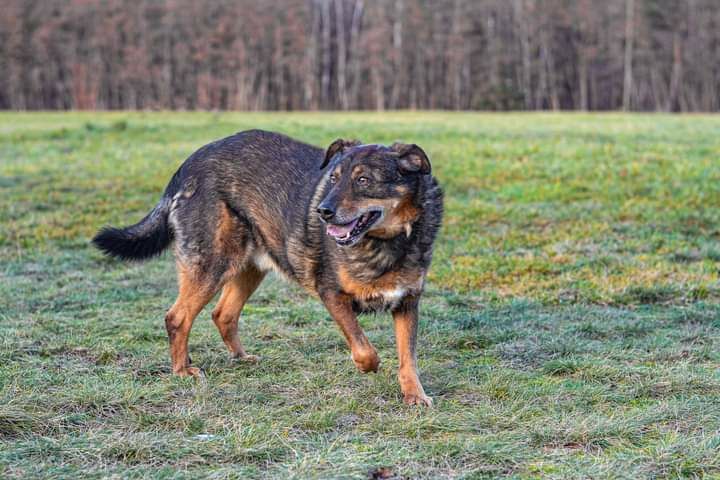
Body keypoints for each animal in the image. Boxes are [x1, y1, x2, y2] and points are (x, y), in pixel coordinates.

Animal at [94, 128, 444, 404]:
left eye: (362, 180)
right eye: (332, 178)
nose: (322, 211)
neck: (389, 241)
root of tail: (190, 162)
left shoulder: (407, 302)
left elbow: (408, 358)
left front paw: (415, 395)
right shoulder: (331, 293)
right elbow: (364, 349)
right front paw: (367, 367)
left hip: (249, 268)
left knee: (223, 314)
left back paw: (240, 358)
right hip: (211, 265)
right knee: (177, 317)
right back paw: (182, 371)